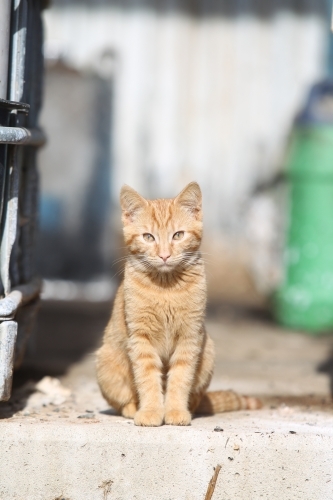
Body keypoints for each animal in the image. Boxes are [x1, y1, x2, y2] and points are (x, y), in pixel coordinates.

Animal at [95, 183, 260, 426]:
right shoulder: (140, 338)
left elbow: (180, 379)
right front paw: (151, 411)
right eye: (148, 237)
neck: (166, 287)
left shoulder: (190, 337)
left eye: (178, 235)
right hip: (106, 362)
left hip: (208, 352)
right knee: (122, 401)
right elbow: (148, 378)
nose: (164, 255)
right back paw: (133, 408)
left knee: (196, 398)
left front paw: (174, 411)